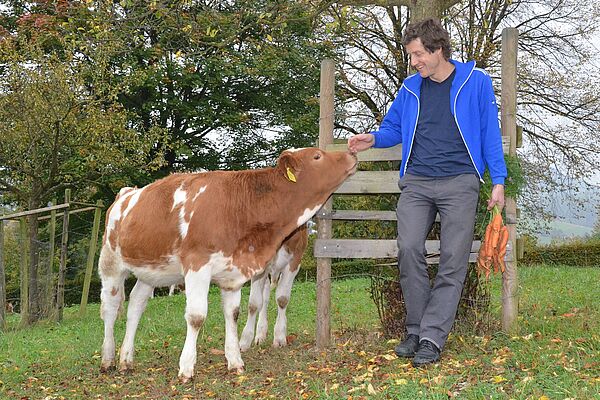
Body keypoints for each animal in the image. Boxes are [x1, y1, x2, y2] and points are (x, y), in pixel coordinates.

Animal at [239, 223, 308, 352]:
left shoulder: (294, 261)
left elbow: (282, 299)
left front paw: (280, 337)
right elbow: (254, 304)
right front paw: (245, 341)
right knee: (264, 298)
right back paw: (260, 333)